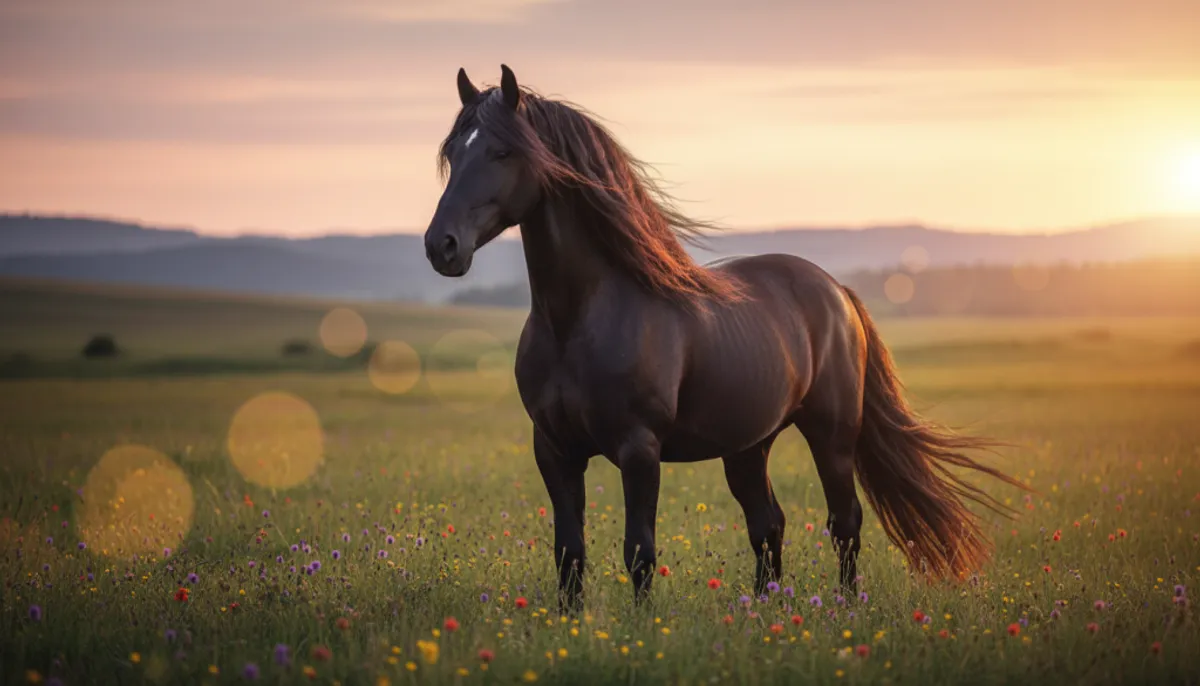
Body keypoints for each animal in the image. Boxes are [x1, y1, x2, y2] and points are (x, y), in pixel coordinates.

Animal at [422, 64, 1026, 612]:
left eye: (503, 152)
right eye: (453, 153)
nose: (440, 246)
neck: (578, 320)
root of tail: (835, 290)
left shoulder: (639, 449)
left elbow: (638, 551)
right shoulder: (553, 449)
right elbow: (569, 552)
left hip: (831, 434)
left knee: (844, 521)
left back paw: (846, 606)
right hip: (748, 445)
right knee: (769, 523)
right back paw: (765, 608)